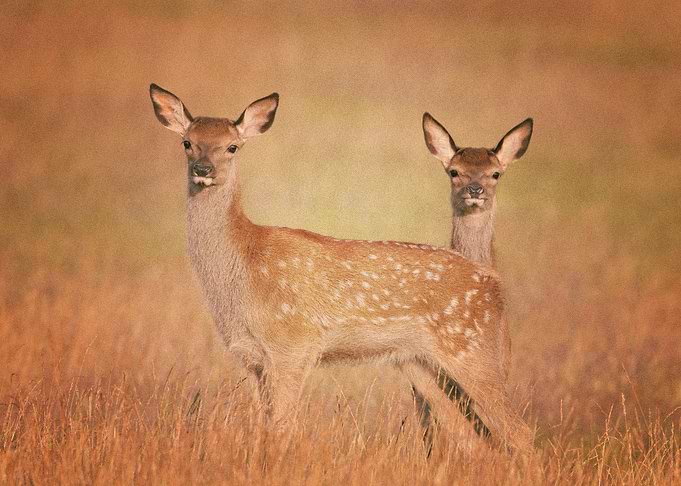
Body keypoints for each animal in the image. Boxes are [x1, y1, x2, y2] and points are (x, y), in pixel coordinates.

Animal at [149, 84, 534, 454]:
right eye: (187, 143)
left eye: (232, 147)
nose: (202, 169)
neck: (243, 266)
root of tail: (494, 282)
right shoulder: (254, 359)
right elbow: (264, 428)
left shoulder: (293, 344)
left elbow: (282, 430)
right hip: (420, 364)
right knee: (469, 436)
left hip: (471, 349)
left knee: (520, 433)